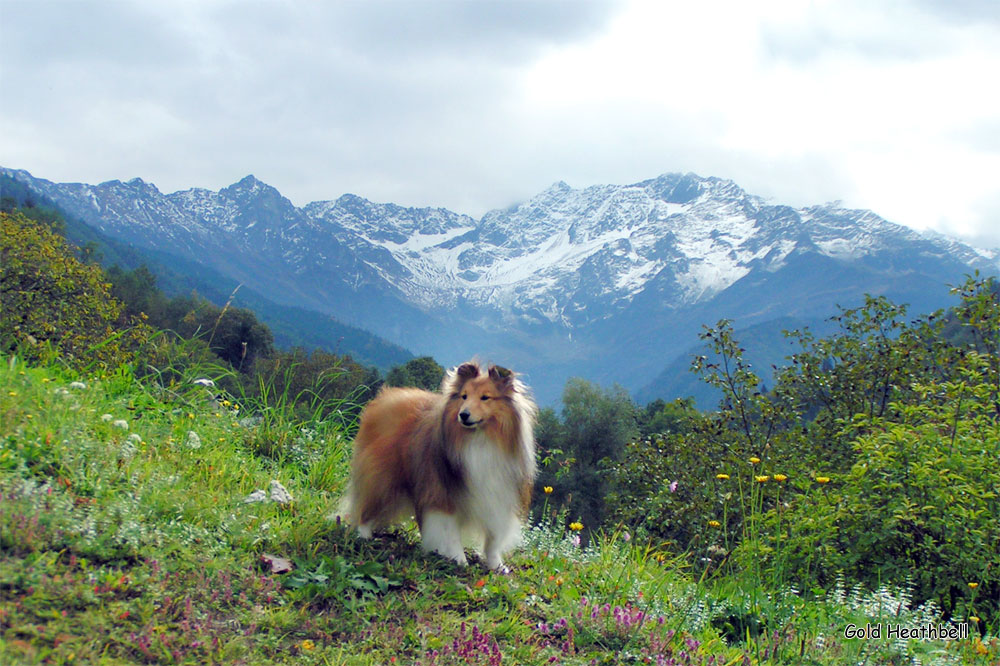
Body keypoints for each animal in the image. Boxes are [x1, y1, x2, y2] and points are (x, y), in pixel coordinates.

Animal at [340, 360, 536, 568]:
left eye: (485, 397)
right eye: (464, 396)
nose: (463, 415)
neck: (480, 439)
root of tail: (384, 399)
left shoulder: (500, 497)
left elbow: (493, 539)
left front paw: (496, 565)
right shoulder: (443, 494)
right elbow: (451, 532)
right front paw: (458, 559)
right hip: (382, 478)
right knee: (365, 505)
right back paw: (363, 534)